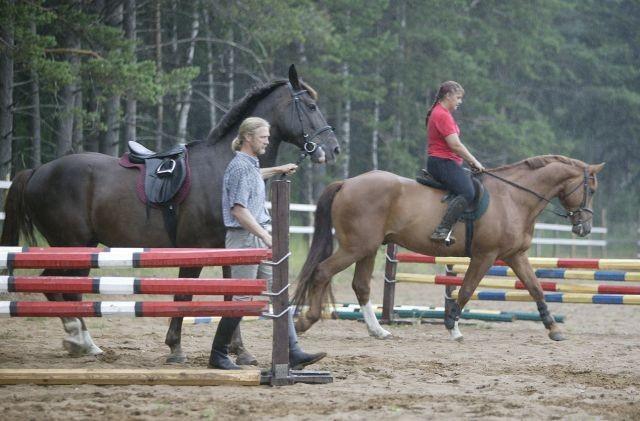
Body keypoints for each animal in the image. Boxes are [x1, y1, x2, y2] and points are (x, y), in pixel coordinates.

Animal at [0, 65, 340, 360]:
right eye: (311, 106)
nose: (333, 149)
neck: (223, 165)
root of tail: (38, 171)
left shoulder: (230, 252)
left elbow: (233, 298)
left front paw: (239, 351)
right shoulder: (197, 251)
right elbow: (184, 297)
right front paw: (176, 348)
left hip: (80, 249)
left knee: (63, 289)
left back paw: (82, 341)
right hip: (73, 246)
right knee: (60, 288)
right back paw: (80, 338)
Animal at [292, 154, 604, 342]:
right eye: (591, 189)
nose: (585, 228)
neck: (513, 198)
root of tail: (347, 183)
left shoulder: (515, 255)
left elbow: (536, 288)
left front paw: (554, 328)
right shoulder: (485, 256)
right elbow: (466, 290)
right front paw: (452, 327)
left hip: (367, 249)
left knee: (361, 286)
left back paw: (378, 330)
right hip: (355, 247)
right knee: (322, 272)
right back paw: (305, 321)